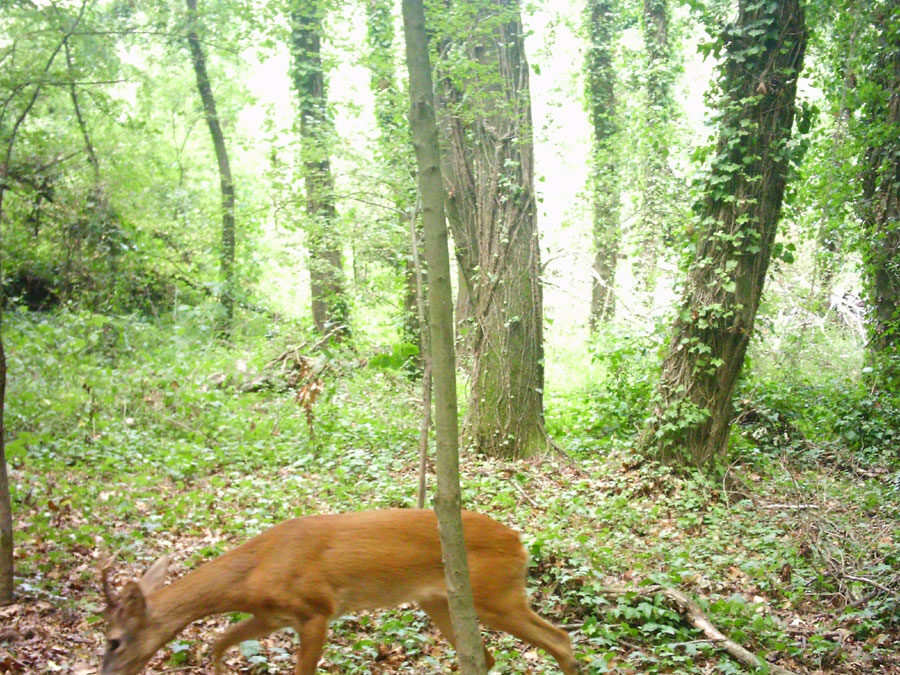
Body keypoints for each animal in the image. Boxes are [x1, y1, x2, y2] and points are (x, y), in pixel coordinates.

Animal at [98, 510, 576, 672]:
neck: (256, 569)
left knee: (561, 639)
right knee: (486, 657)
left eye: (115, 641)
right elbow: (219, 643)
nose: (106, 674)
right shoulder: (271, 616)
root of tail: (520, 542)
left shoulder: (315, 611)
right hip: (438, 600)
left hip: (495, 595)